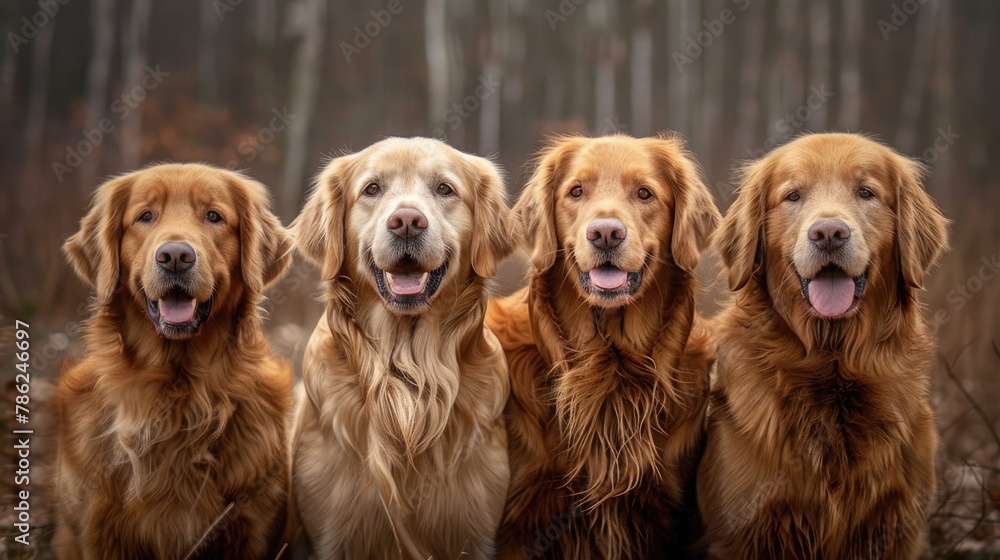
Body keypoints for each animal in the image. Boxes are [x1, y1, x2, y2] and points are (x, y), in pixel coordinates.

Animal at [54, 164, 294, 556]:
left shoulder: (251, 528)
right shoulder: (97, 532)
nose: (176, 257)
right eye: (145, 216)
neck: (179, 389)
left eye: (213, 216)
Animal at [286, 138, 512, 556]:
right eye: (372, 189)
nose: (407, 221)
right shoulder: (331, 533)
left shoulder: (475, 532)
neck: (406, 370)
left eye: (445, 189)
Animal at [700, 133, 948, 556]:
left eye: (866, 192)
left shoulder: (897, 529)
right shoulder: (738, 531)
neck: (832, 369)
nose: (829, 233)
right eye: (793, 196)